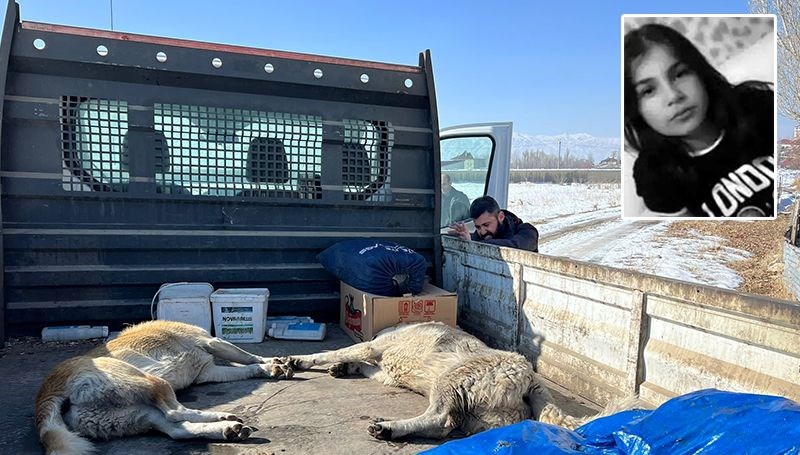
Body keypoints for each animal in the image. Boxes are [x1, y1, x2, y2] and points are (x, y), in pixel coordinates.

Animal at [36, 320, 294, 455]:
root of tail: (50, 390)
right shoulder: (212, 342)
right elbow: (250, 357)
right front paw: (274, 363)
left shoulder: (208, 371)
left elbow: (248, 366)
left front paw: (272, 367)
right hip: (151, 382)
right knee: (176, 412)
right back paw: (224, 418)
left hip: (140, 414)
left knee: (179, 430)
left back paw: (227, 429)